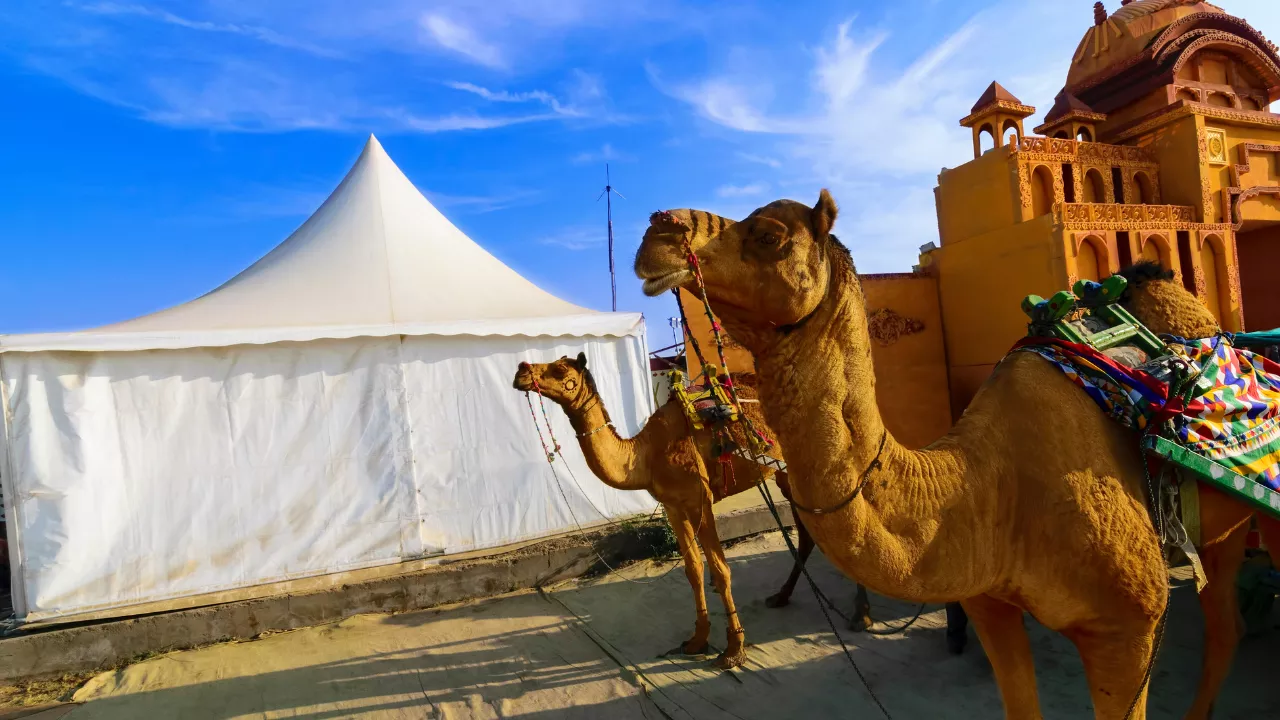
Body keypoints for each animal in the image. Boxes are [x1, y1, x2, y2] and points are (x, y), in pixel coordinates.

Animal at [512, 354, 873, 669]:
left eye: (560, 368)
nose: (521, 370)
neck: (646, 454)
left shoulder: (700, 499)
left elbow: (721, 571)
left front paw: (733, 650)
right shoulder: (674, 507)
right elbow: (693, 570)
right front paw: (697, 641)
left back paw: (861, 615)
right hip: (787, 473)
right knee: (809, 529)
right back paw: (781, 597)